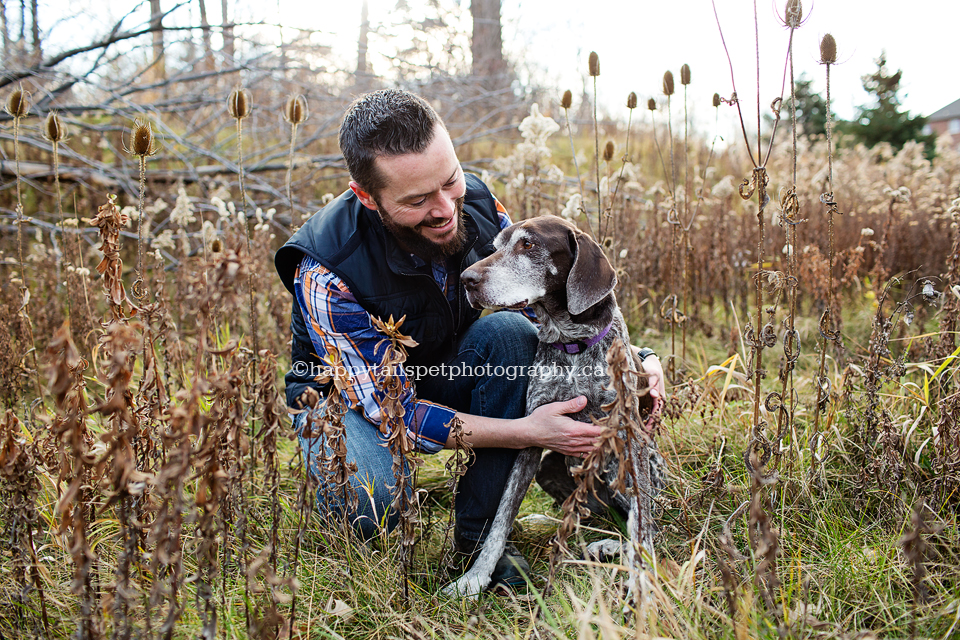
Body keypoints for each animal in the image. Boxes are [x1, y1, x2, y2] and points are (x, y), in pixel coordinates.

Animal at [444, 216, 664, 600]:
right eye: (495, 246)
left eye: (528, 244)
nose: (467, 279)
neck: (572, 343)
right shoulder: (532, 439)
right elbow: (500, 520)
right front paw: (475, 578)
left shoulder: (631, 441)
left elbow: (642, 526)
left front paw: (641, 585)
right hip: (550, 469)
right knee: (592, 518)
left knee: (643, 521)